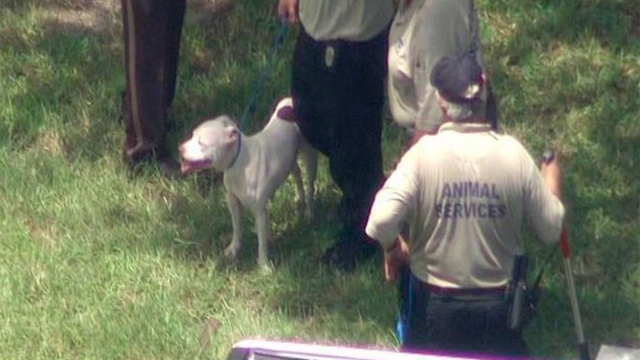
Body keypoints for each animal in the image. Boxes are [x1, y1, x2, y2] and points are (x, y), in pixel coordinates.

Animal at [178, 97, 318, 268]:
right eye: (192, 136)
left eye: (201, 143)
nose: (180, 148)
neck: (238, 162)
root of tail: (290, 99)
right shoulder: (233, 201)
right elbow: (237, 228)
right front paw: (234, 249)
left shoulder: (260, 212)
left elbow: (262, 242)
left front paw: (264, 265)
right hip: (289, 159)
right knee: (297, 173)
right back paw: (300, 199)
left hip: (309, 154)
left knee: (310, 184)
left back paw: (310, 213)